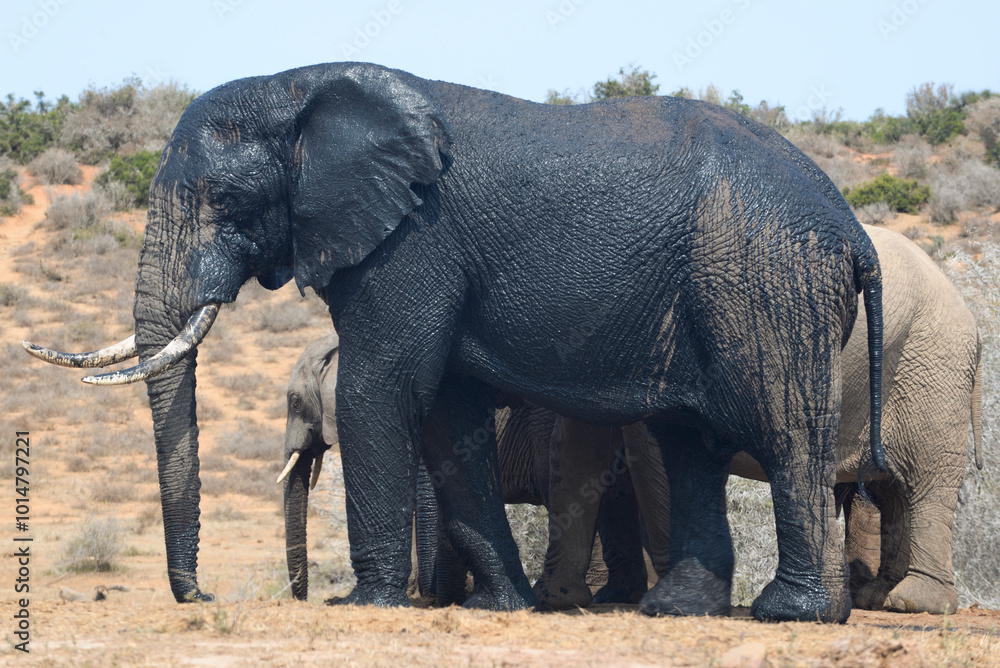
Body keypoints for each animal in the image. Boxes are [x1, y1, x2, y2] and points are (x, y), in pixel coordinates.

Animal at [21, 61, 886, 622]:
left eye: (225, 200)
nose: (199, 597)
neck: (299, 87)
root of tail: (851, 230)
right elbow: (446, 421)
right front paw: (506, 607)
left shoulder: (414, 237)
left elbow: (380, 388)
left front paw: (364, 604)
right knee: (688, 443)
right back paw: (677, 613)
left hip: (767, 277)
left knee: (786, 429)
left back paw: (790, 613)